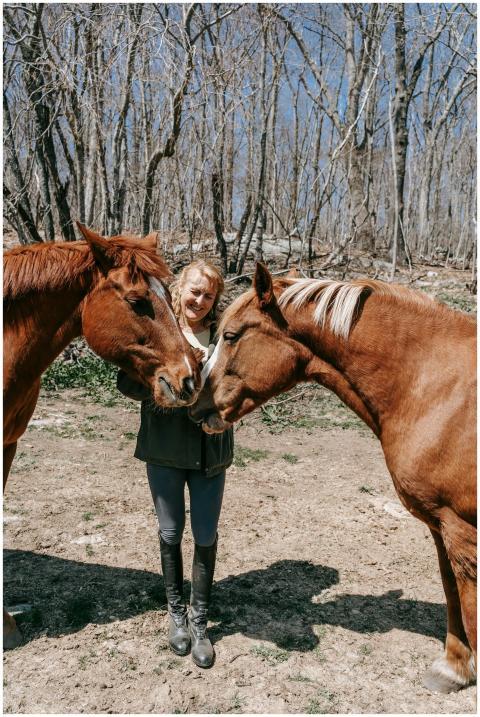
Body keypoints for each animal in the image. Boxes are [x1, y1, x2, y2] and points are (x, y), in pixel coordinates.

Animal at [191, 262, 476, 694]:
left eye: (231, 335)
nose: (194, 406)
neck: (434, 385)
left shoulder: (461, 530)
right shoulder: (441, 527)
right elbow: (452, 594)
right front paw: (454, 669)